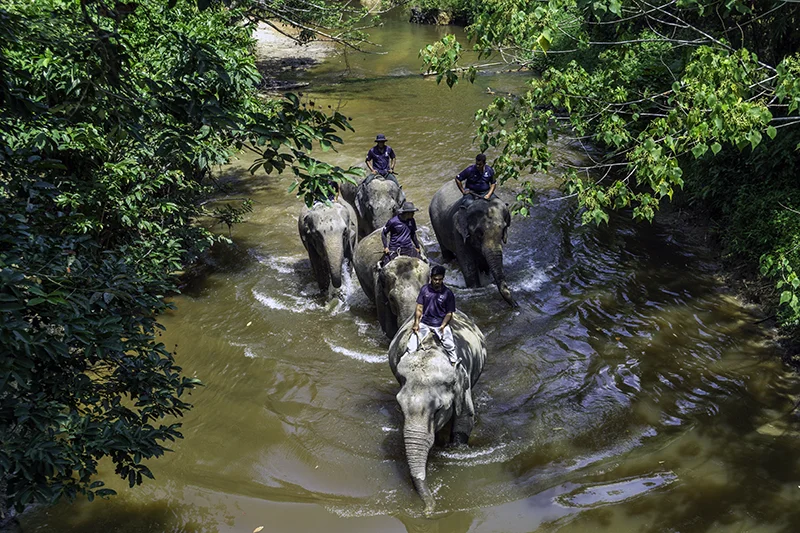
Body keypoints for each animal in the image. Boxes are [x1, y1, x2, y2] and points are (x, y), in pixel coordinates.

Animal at [388, 311, 487, 516]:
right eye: (400, 408)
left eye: (439, 410)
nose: (428, 510)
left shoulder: (463, 381)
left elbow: (465, 419)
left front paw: (454, 448)